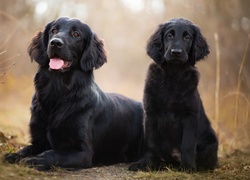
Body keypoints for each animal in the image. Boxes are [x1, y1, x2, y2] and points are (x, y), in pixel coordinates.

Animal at [4, 16, 143, 170]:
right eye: (54, 30)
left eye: (76, 34)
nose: (55, 43)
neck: (58, 92)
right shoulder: (39, 140)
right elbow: (27, 148)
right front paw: (15, 155)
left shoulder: (83, 152)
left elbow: (52, 153)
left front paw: (32, 160)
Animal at [129, 17, 219, 172]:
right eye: (169, 35)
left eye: (187, 37)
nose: (176, 52)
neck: (173, 75)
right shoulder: (151, 113)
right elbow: (150, 142)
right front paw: (146, 163)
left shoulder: (190, 115)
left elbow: (187, 144)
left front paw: (188, 167)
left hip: (211, 141)